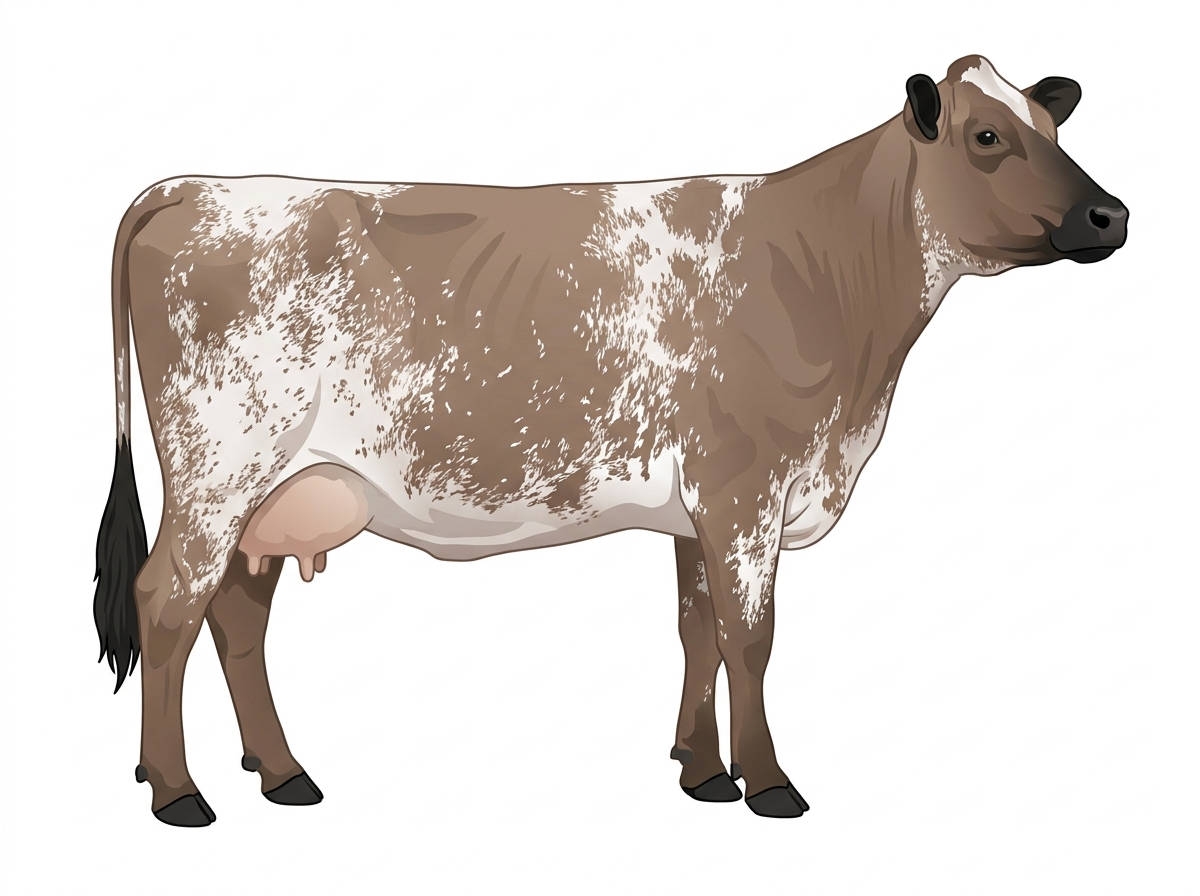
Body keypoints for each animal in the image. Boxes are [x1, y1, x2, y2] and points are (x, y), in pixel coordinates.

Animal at [94, 55, 1126, 826]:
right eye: (987, 137)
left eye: (1055, 128)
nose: (1111, 213)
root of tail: (193, 185)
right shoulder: (747, 490)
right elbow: (753, 638)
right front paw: (770, 783)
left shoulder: (700, 508)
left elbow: (698, 630)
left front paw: (703, 771)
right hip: (220, 469)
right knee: (166, 604)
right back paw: (178, 792)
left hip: (278, 492)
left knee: (237, 617)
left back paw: (282, 774)